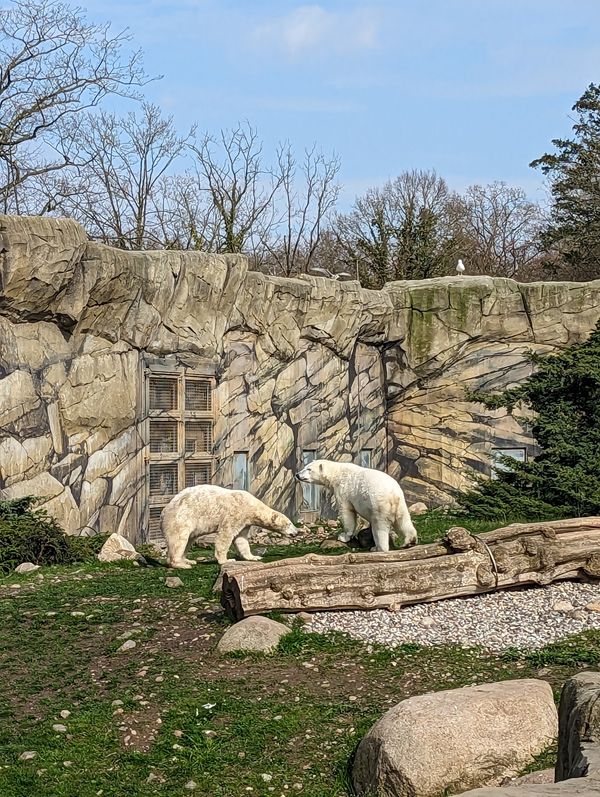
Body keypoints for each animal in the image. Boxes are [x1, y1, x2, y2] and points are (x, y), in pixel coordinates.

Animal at [161, 482, 298, 568]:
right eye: (289, 524)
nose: (296, 532)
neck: (250, 505)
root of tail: (164, 512)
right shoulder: (234, 513)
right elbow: (226, 535)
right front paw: (226, 560)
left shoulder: (245, 522)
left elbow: (241, 539)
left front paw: (254, 557)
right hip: (181, 518)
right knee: (179, 540)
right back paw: (181, 564)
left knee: (189, 540)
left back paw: (189, 560)